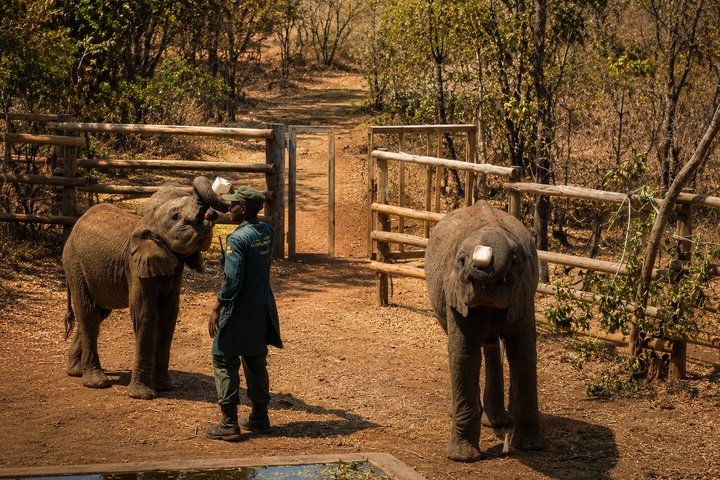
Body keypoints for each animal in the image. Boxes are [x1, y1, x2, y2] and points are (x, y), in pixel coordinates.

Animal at [62, 176, 229, 400]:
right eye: (175, 216)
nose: (209, 211)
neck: (150, 221)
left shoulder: (174, 269)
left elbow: (168, 316)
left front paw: (165, 387)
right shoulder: (135, 266)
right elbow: (145, 315)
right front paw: (143, 395)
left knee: (98, 313)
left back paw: (75, 371)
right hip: (74, 264)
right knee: (88, 313)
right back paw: (96, 382)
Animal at [424, 200, 544, 462]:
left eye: (515, 261)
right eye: (460, 260)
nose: (480, 266)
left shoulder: (524, 293)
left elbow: (523, 353)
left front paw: (530, 447)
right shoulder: (455, 294)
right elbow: (464, 355)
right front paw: (462, 458)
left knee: (493, 346)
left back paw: (497, 421)